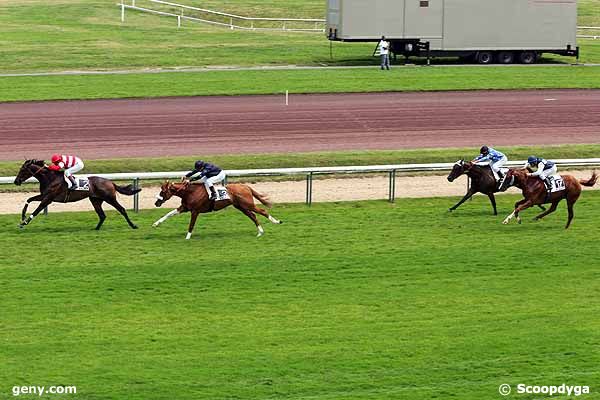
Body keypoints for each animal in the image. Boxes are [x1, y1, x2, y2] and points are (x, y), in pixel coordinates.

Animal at [150, 182, 282, 241]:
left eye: (163, 192)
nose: (156, 203)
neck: (190, 192)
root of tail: (245, 186)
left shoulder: (195, 211)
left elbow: (191, 225)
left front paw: (187, 237)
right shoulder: (184, 208)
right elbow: (168, 214)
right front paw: (155, 224)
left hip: (248, 204)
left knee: (262, 211)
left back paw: (276, 222)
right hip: (241, 207)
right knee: (253, 216)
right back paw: (260, 232)